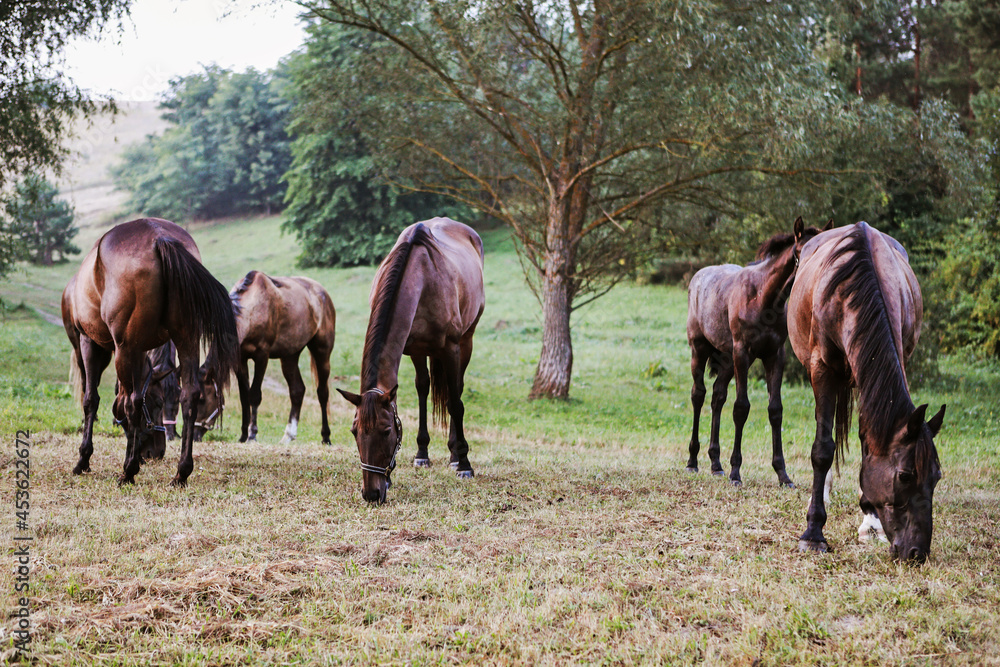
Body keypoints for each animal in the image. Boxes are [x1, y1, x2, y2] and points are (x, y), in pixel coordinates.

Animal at [60, 219, 238, 486]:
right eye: (159, 402)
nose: (157, 452)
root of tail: (160, 237)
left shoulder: (92, 342)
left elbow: (92, 399)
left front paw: (84, 459)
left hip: (122, 348)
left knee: (130, 403)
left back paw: (128, 470)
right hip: (187, 339)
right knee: (190, 395)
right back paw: (181, 472)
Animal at [193, 272, 338, 448]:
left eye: (202, 399)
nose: (195, 435)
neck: (252, 308)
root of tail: (322, 293)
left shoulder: (262, 357)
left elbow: (254, 395)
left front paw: (252, 434)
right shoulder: (240, 360)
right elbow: (244, 397)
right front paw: (243, 435)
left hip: (322, 352)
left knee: (322, 393)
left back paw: (326, 437)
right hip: (289, 356)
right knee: (297, 391)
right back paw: (288, 435)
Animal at [338, 219, 486, 506]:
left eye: (386, 431)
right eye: (354, 431)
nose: (371, 493)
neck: (421, 276)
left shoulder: (451, 348)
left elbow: (455, 403)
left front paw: (464, 463)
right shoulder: (415, 349)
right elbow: (421, 391)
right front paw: (420, 455)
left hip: (467, 340)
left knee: (457, 391)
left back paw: (455, 457)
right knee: (425, 388)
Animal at [688, 219, 828, 486]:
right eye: (801, 252)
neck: (764, 298)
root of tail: (697, 277)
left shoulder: (775, 355)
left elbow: (775, 410)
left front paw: (783, 474)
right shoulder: (743, 353)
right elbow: (741, 408)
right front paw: (736, 472)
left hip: (727, 360)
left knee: (717, 396)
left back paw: (716, 463)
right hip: (699, 350)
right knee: (698, 395)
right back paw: (693, 461)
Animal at [788, 224, 944, 564]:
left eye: (937, 477)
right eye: (905, 476)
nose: (917, 552)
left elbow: (867, 441)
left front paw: (870, 520)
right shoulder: (821, 369)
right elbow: (823, 448)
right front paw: (813, 532)